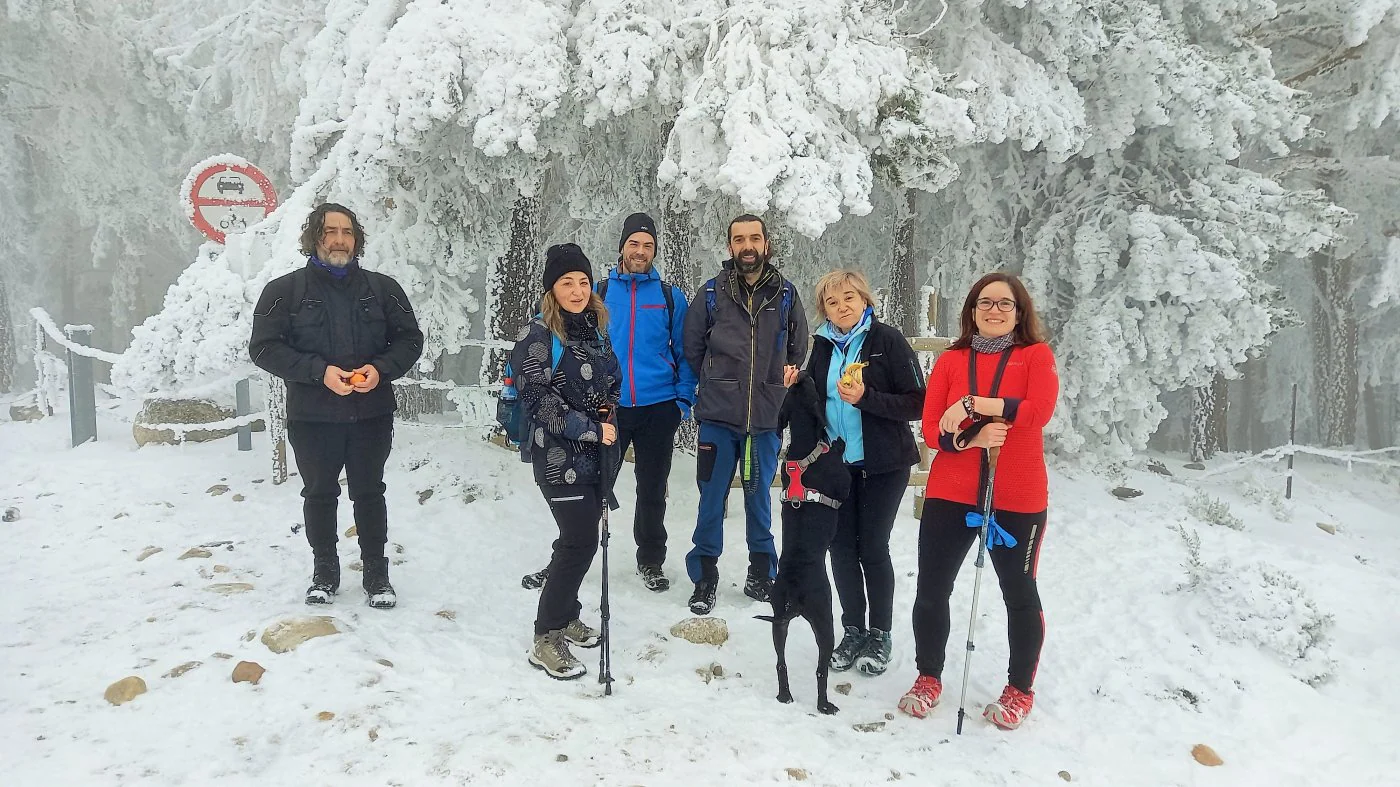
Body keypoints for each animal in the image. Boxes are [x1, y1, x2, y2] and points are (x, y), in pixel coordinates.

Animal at [756, 366, 851, 711]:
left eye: (801, 385)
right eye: (810, 383)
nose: (802, 370)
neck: (801, 450)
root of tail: (795, 596)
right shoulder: (842, 481)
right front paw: (837, 443)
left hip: (777, 622)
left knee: (780, 662)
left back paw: (784, 695)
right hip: (824, 620)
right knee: (821, 669)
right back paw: (825, 705)